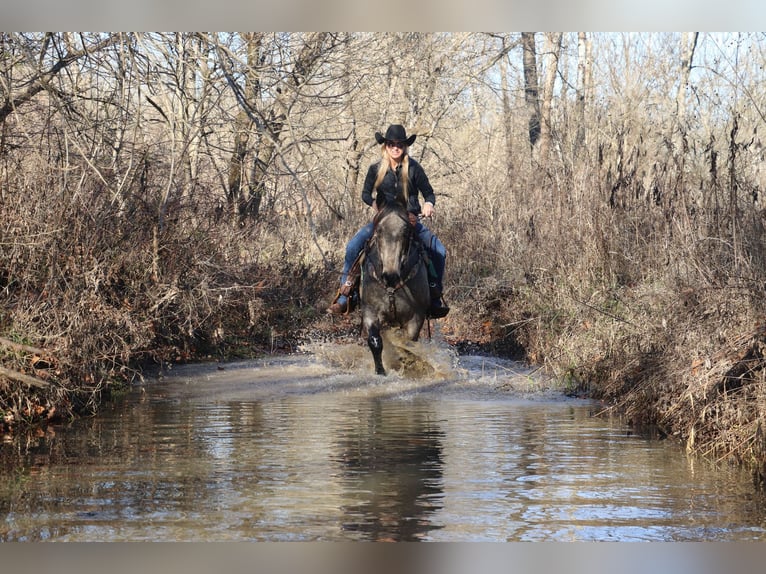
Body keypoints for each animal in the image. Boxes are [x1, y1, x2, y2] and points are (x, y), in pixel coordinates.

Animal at [360, 200, 432, 376]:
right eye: (379, 231)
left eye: (406, 232)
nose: (390, 275)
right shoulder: (370, 311)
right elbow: (375, 341)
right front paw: (380, 372)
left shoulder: (416, 317)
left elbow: (408, 347)